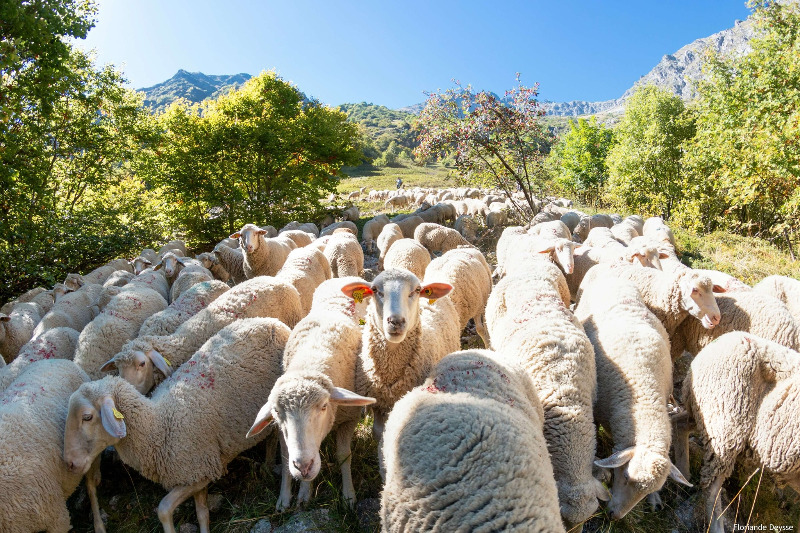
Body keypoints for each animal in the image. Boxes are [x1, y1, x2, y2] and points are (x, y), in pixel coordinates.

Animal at [64, 317, 290, 533]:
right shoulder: (197, 472)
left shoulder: (199, 471)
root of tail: (272, 322)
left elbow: (164, 509)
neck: (157, 425)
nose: (70, 464)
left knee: (276, 442)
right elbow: (202, 513)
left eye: (87, 417)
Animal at [247, 277, 376, 510]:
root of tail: (341, 278)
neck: (310, 362)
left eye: (324, 406)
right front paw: (292, 496)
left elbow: (344, 455)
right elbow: (285, 457)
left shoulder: (347, 419)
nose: (304, 466)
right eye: (277, 414)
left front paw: (348, 496)